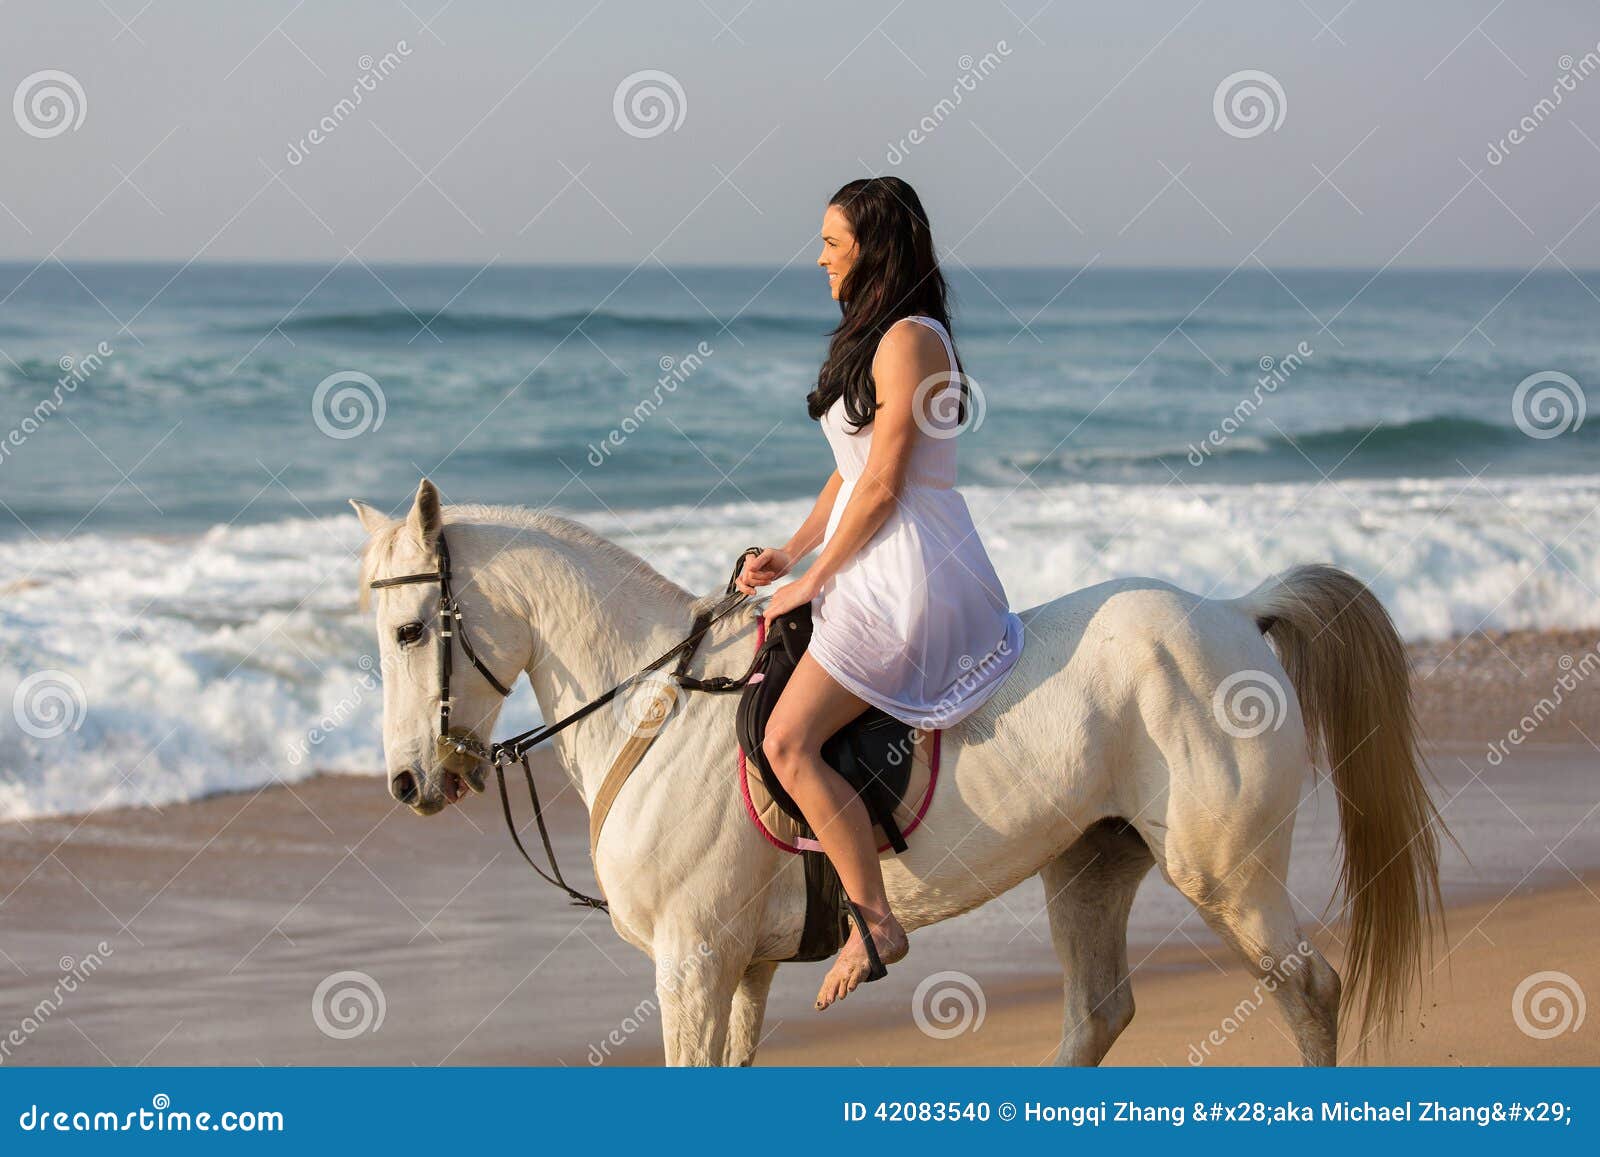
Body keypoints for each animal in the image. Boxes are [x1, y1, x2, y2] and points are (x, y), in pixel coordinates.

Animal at [353, 480, 1452, 1068]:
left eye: (408, 630)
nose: (409, 782)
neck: (656, 704)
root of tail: (1233, 607)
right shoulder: (743, 964)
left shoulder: (693, 960)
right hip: (1091, 865)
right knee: (1097, 1015)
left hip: (1226, 876)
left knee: (1308, 986)